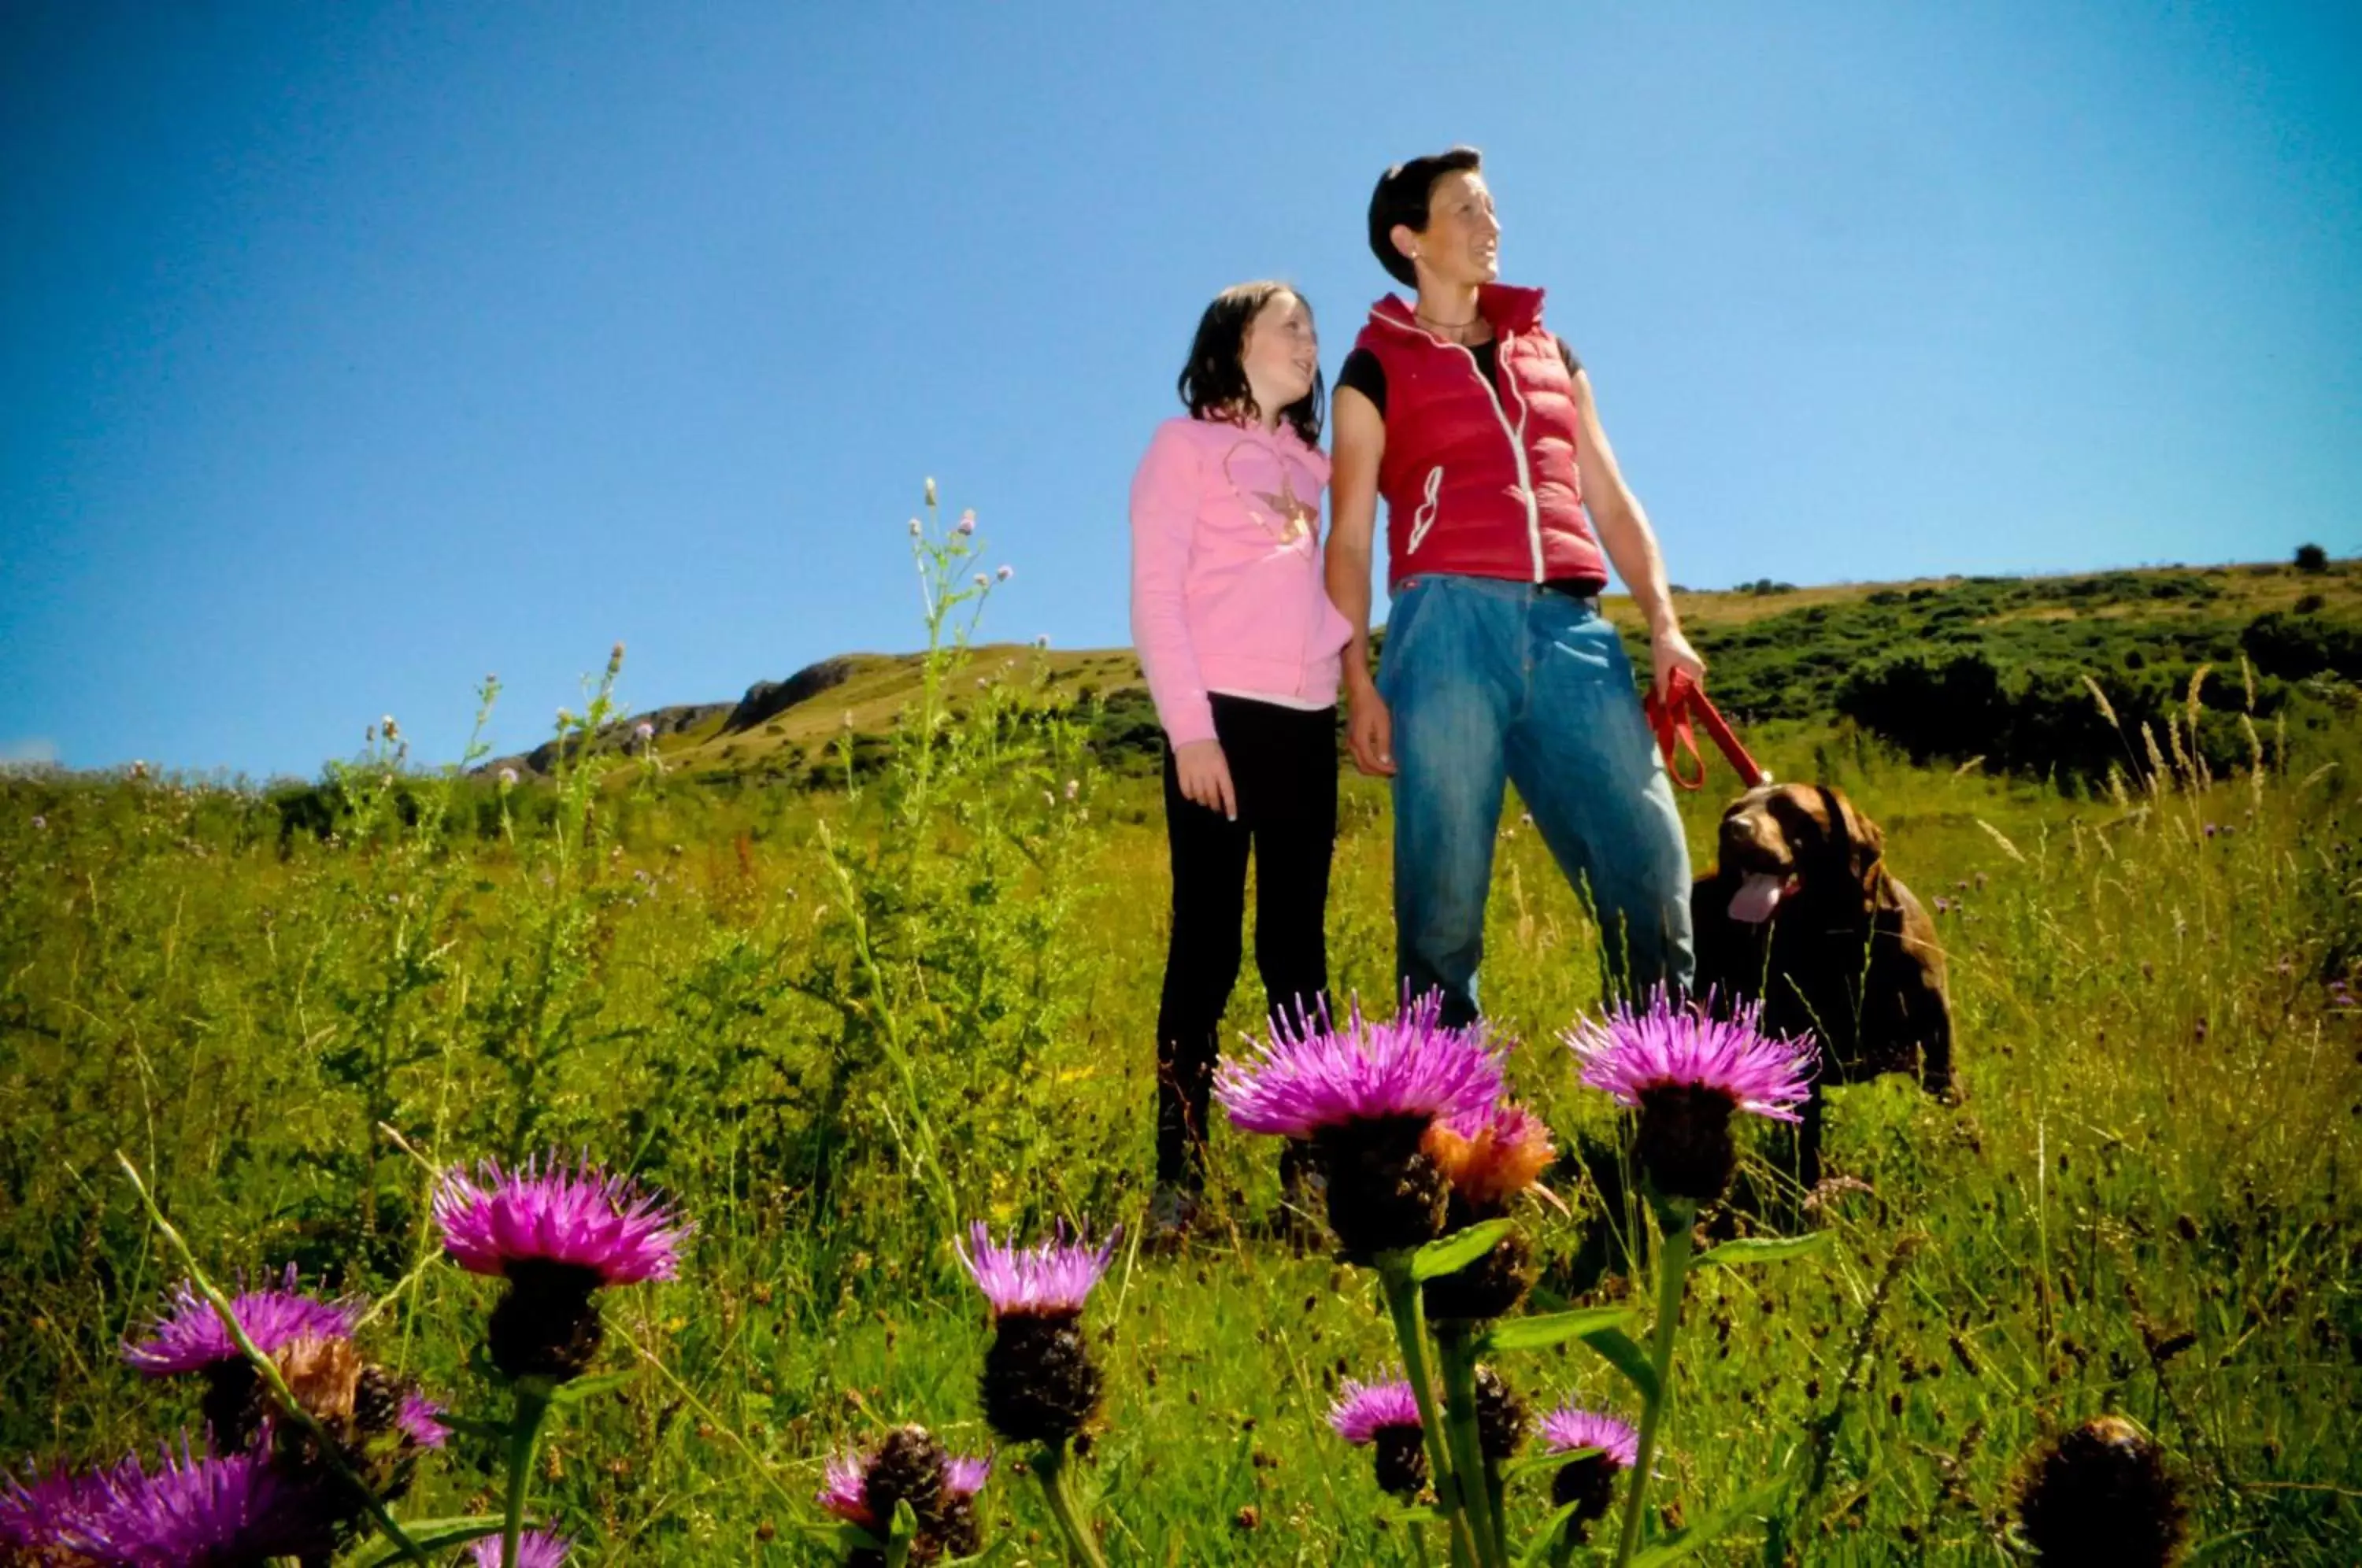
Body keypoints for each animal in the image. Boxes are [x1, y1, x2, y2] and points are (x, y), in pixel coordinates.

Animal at [1701, 784, 1956, 1190]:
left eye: (1789, 809)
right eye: (1734, 811)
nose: (1731, 829)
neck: (1837, 937)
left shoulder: (1937, 1035)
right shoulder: (1802, 1056)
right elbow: (1807, 1143)